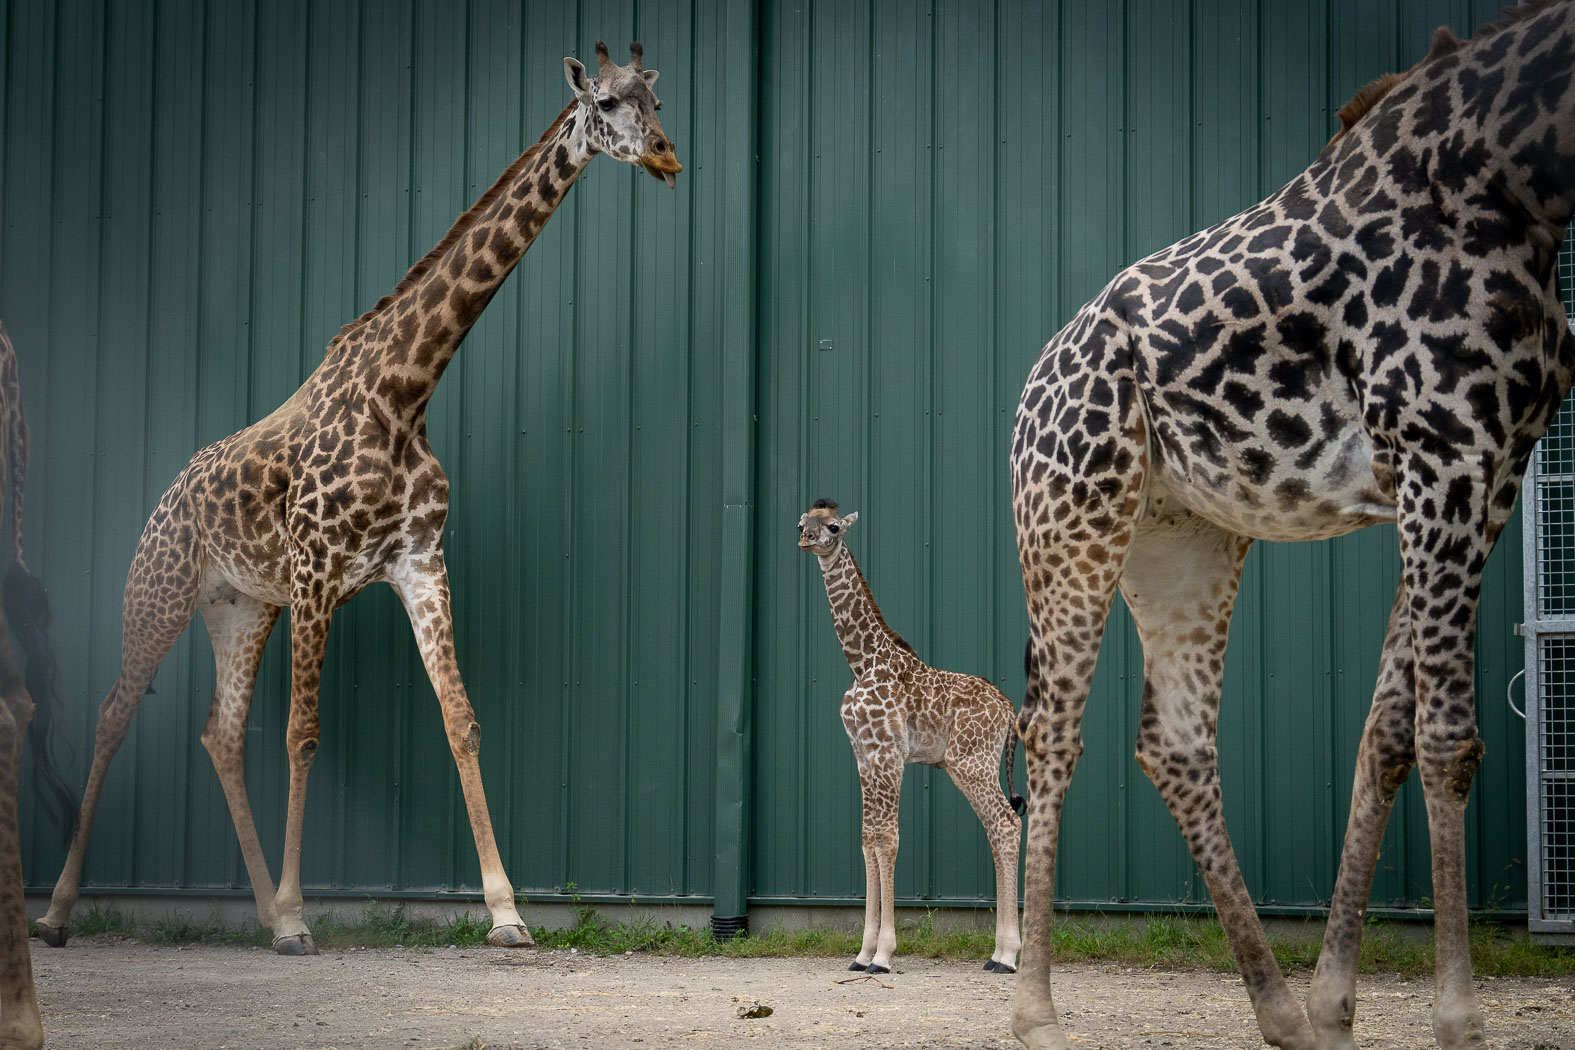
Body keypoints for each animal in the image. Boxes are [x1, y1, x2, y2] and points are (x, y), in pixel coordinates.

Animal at [37, 43, 683, 963]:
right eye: (604, 102)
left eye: (656, 99)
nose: (664, 154)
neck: (404, 390)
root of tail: (165, 496)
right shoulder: (317, 571)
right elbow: (303, 733)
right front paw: (302, 915)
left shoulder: (417, 564)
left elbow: (461, 720)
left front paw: (506, 913)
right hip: (158, 595)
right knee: (111, 715)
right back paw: (61, 912)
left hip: (240, 607)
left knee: (219, 733)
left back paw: (260, 911)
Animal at [793, 500, 1026, 976]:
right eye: (801, 521)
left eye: (832, 527)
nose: (806, 540)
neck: (862, 661)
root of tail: (1009, 711)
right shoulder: (863, 756)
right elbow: (868, 838)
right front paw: (861, 954)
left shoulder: (889, 753)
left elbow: (888, 838)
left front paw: (882, 955)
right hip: (973, 765)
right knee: (999, 829)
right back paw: (996, 953)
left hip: (971, 764)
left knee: (1006, 824)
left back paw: (1009, 955)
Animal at [1008, 4, 1575, 1045]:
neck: (1521, 176)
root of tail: (1032, 381)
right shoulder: (1447, 450)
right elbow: (1446, 735)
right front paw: (1457, 1015)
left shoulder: (1491, 471)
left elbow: (1386, 730)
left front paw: (1336, 1002)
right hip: (1070, 523)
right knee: (1052, 727)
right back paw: (1033, 1007)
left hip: (1182, 540)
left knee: (1175, 741)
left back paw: (1279, 1011)